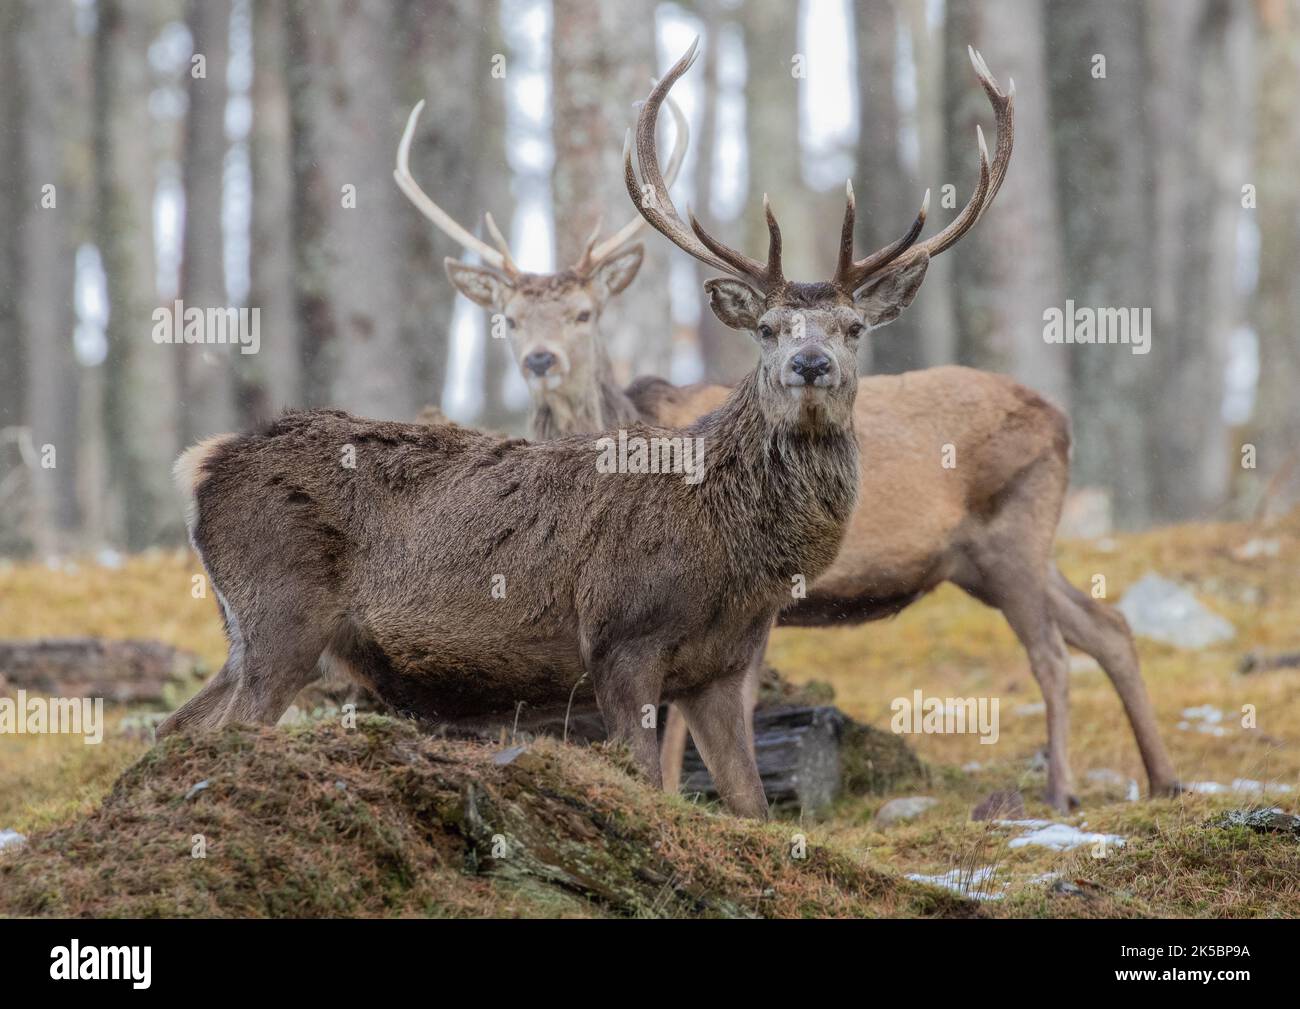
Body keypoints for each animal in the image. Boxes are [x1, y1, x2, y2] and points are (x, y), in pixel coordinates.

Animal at [603, 41, 1175, 811]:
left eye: (852, 327)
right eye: (766, 327)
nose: (811, 363)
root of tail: (1060, 417)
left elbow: (704, 711)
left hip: (1014, 532)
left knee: (1053, 652)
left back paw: (1062, 790)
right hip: (991, 553)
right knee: (1106, 625)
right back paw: (1166, 778)